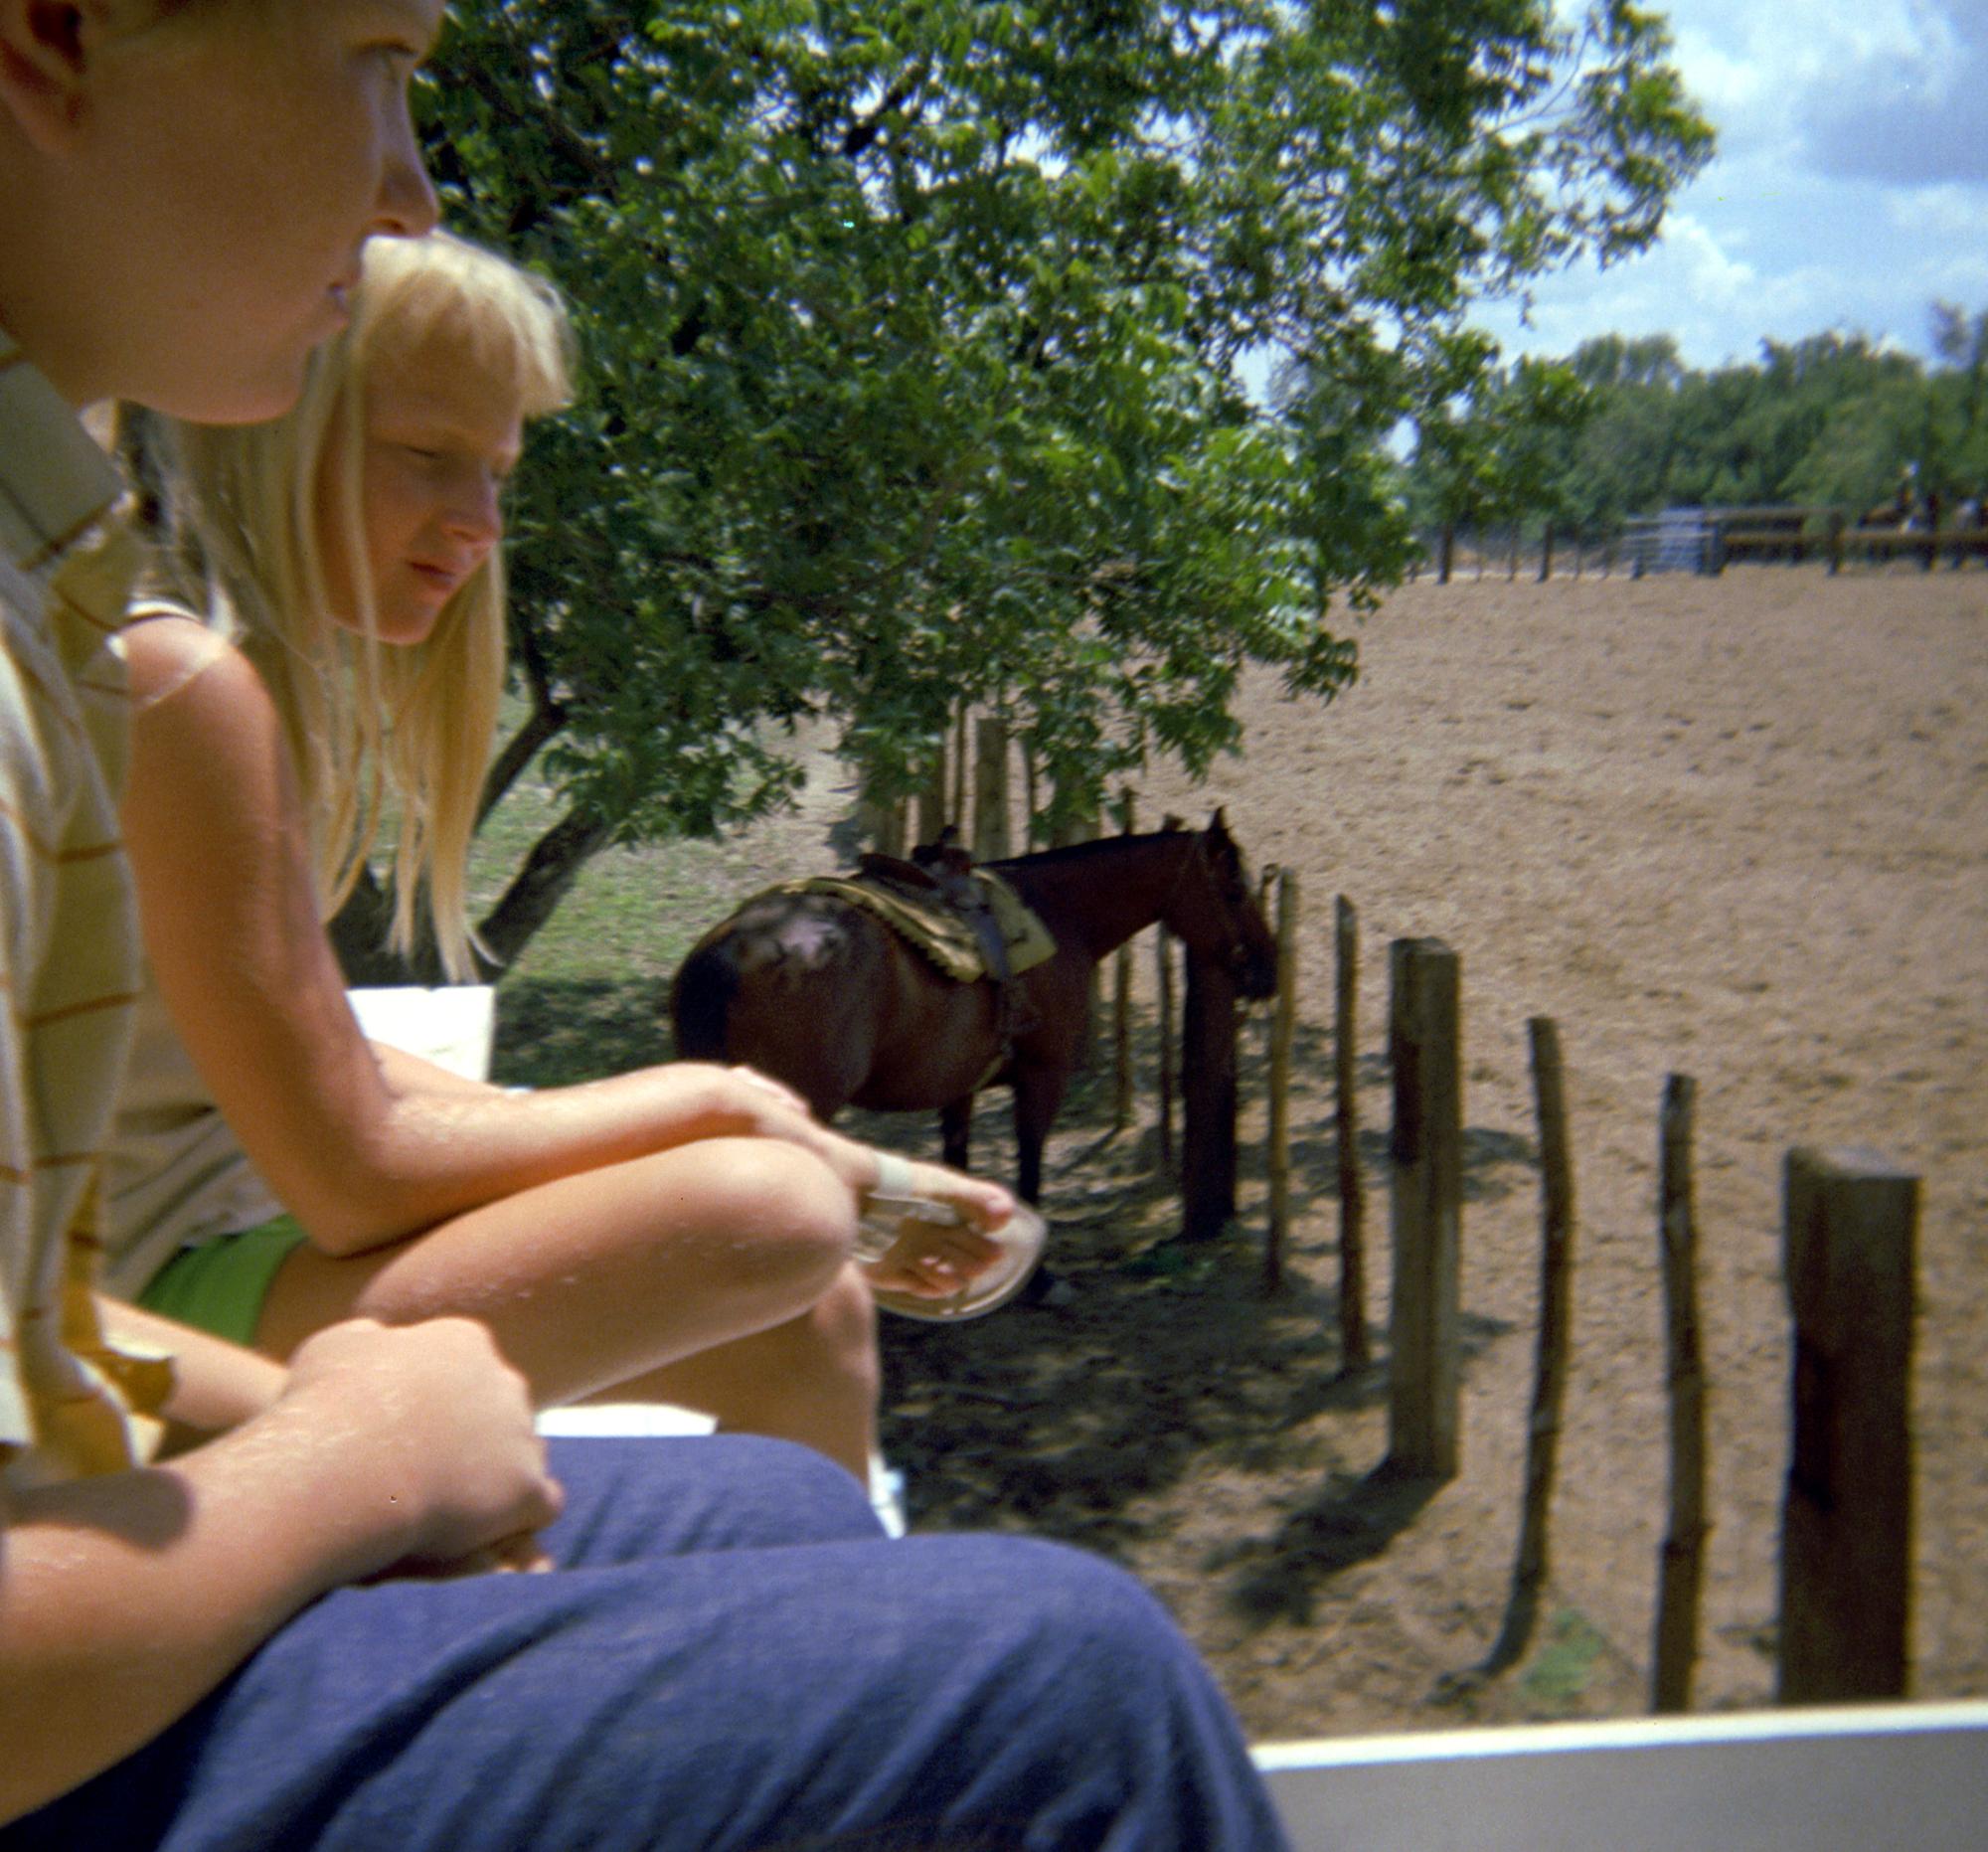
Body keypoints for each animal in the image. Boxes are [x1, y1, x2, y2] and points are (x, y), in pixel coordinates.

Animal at [676, 814, 1280, 1200]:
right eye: (1234, 890)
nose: (1267, 968)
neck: (1061, 913)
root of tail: (732, 949)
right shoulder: (1043, 1072)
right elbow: (1030, 1159)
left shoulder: (959, 1081)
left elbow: (958, 1155)